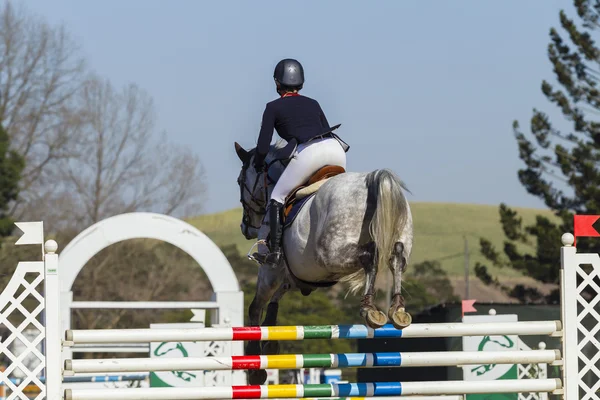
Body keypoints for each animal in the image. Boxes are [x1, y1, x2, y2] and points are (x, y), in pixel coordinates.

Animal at [233, 140, 412, 384]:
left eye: (240, 180)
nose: (245, 227)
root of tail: (372, 179)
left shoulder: (270, 271)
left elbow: (255, 307)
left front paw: (256, 369)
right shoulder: (300, 275)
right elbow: (276, 299)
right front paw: (271, 343)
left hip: (333, 253)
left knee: (371, 256)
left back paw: (368, 308)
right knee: (397, 258)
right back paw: (396, 309)